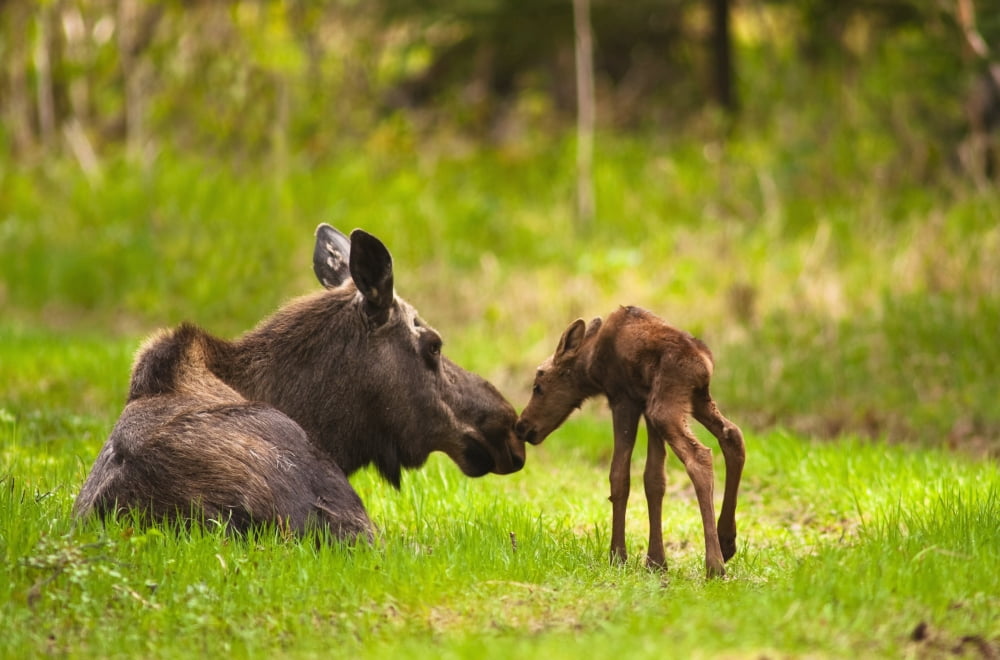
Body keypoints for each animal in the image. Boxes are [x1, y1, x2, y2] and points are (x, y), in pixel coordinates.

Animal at [515, 305, 745, 577]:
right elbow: (654, 479)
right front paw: (656, 561)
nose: (521, 426)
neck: (591, 366)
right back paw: (726, 541)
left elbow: (619, 476)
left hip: (665, 407)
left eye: (538, 387)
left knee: (699, 456)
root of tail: (704, 364)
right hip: (693, 400)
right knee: (733, 435)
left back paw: (714, 565)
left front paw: (617, 555)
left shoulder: (623, 399)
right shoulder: (644, 403)